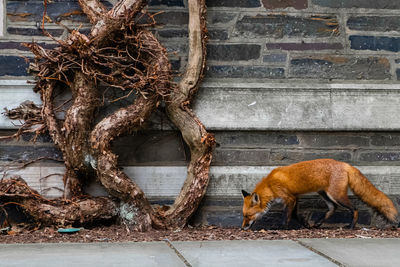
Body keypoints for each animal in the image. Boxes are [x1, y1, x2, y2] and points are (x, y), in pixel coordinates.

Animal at [241, 159, 396, 230]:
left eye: (247, 216)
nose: (242, 228)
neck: (270, 186)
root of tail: (345, 164)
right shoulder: (295, 197)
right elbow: (295, 215)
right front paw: (305, 225)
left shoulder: (289, 198)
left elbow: (287, 216)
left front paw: (281, 227)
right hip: (324, 194)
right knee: (333, 208)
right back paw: (318, 223)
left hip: (337, 196)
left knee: (354, 209)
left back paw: (351, 226)